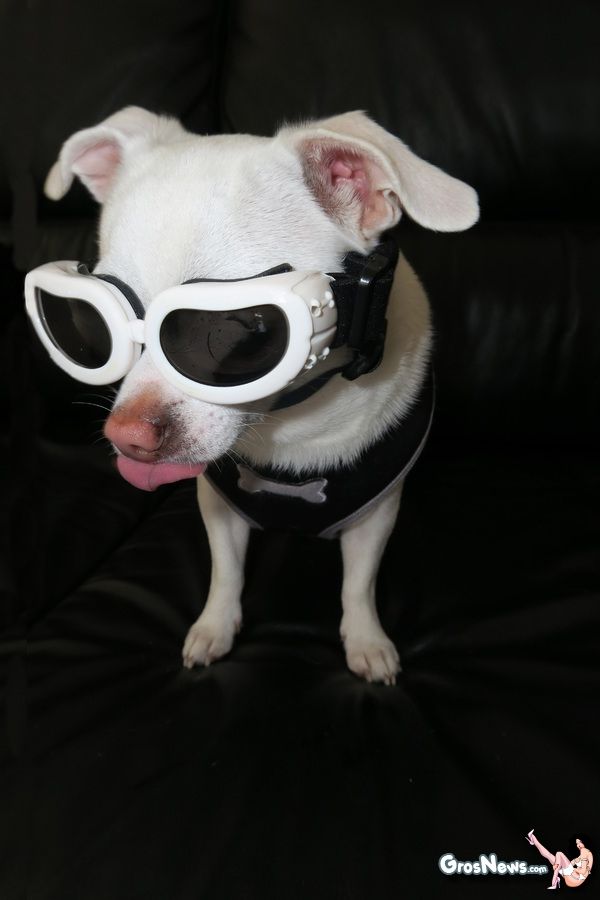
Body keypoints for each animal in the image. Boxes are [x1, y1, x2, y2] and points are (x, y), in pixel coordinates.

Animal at [43, 106, 478, 684]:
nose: (127, 435)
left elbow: (358, 584)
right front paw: (215, 626)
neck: (295, 427)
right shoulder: (217, 505)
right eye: (90, 319)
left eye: (244, 330)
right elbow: (226, 570)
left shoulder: (376, 515)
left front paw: (365, 639)